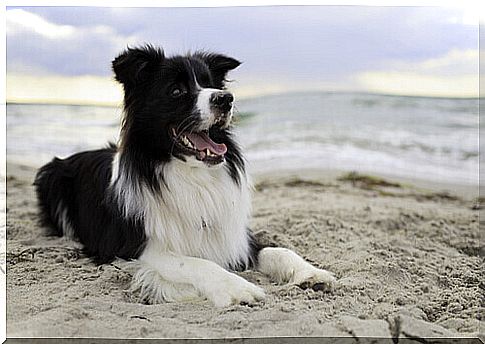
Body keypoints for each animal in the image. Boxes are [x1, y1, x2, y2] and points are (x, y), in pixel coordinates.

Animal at [34, 45, 334, 306]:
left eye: (213, 85)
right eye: (176, 90)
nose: (225, 99)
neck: (192, 175)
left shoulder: (234, 237)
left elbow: (277, 250)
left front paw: (311, 273)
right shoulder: (132, 249)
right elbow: (196, 262)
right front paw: (237, 288)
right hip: (50, 177)